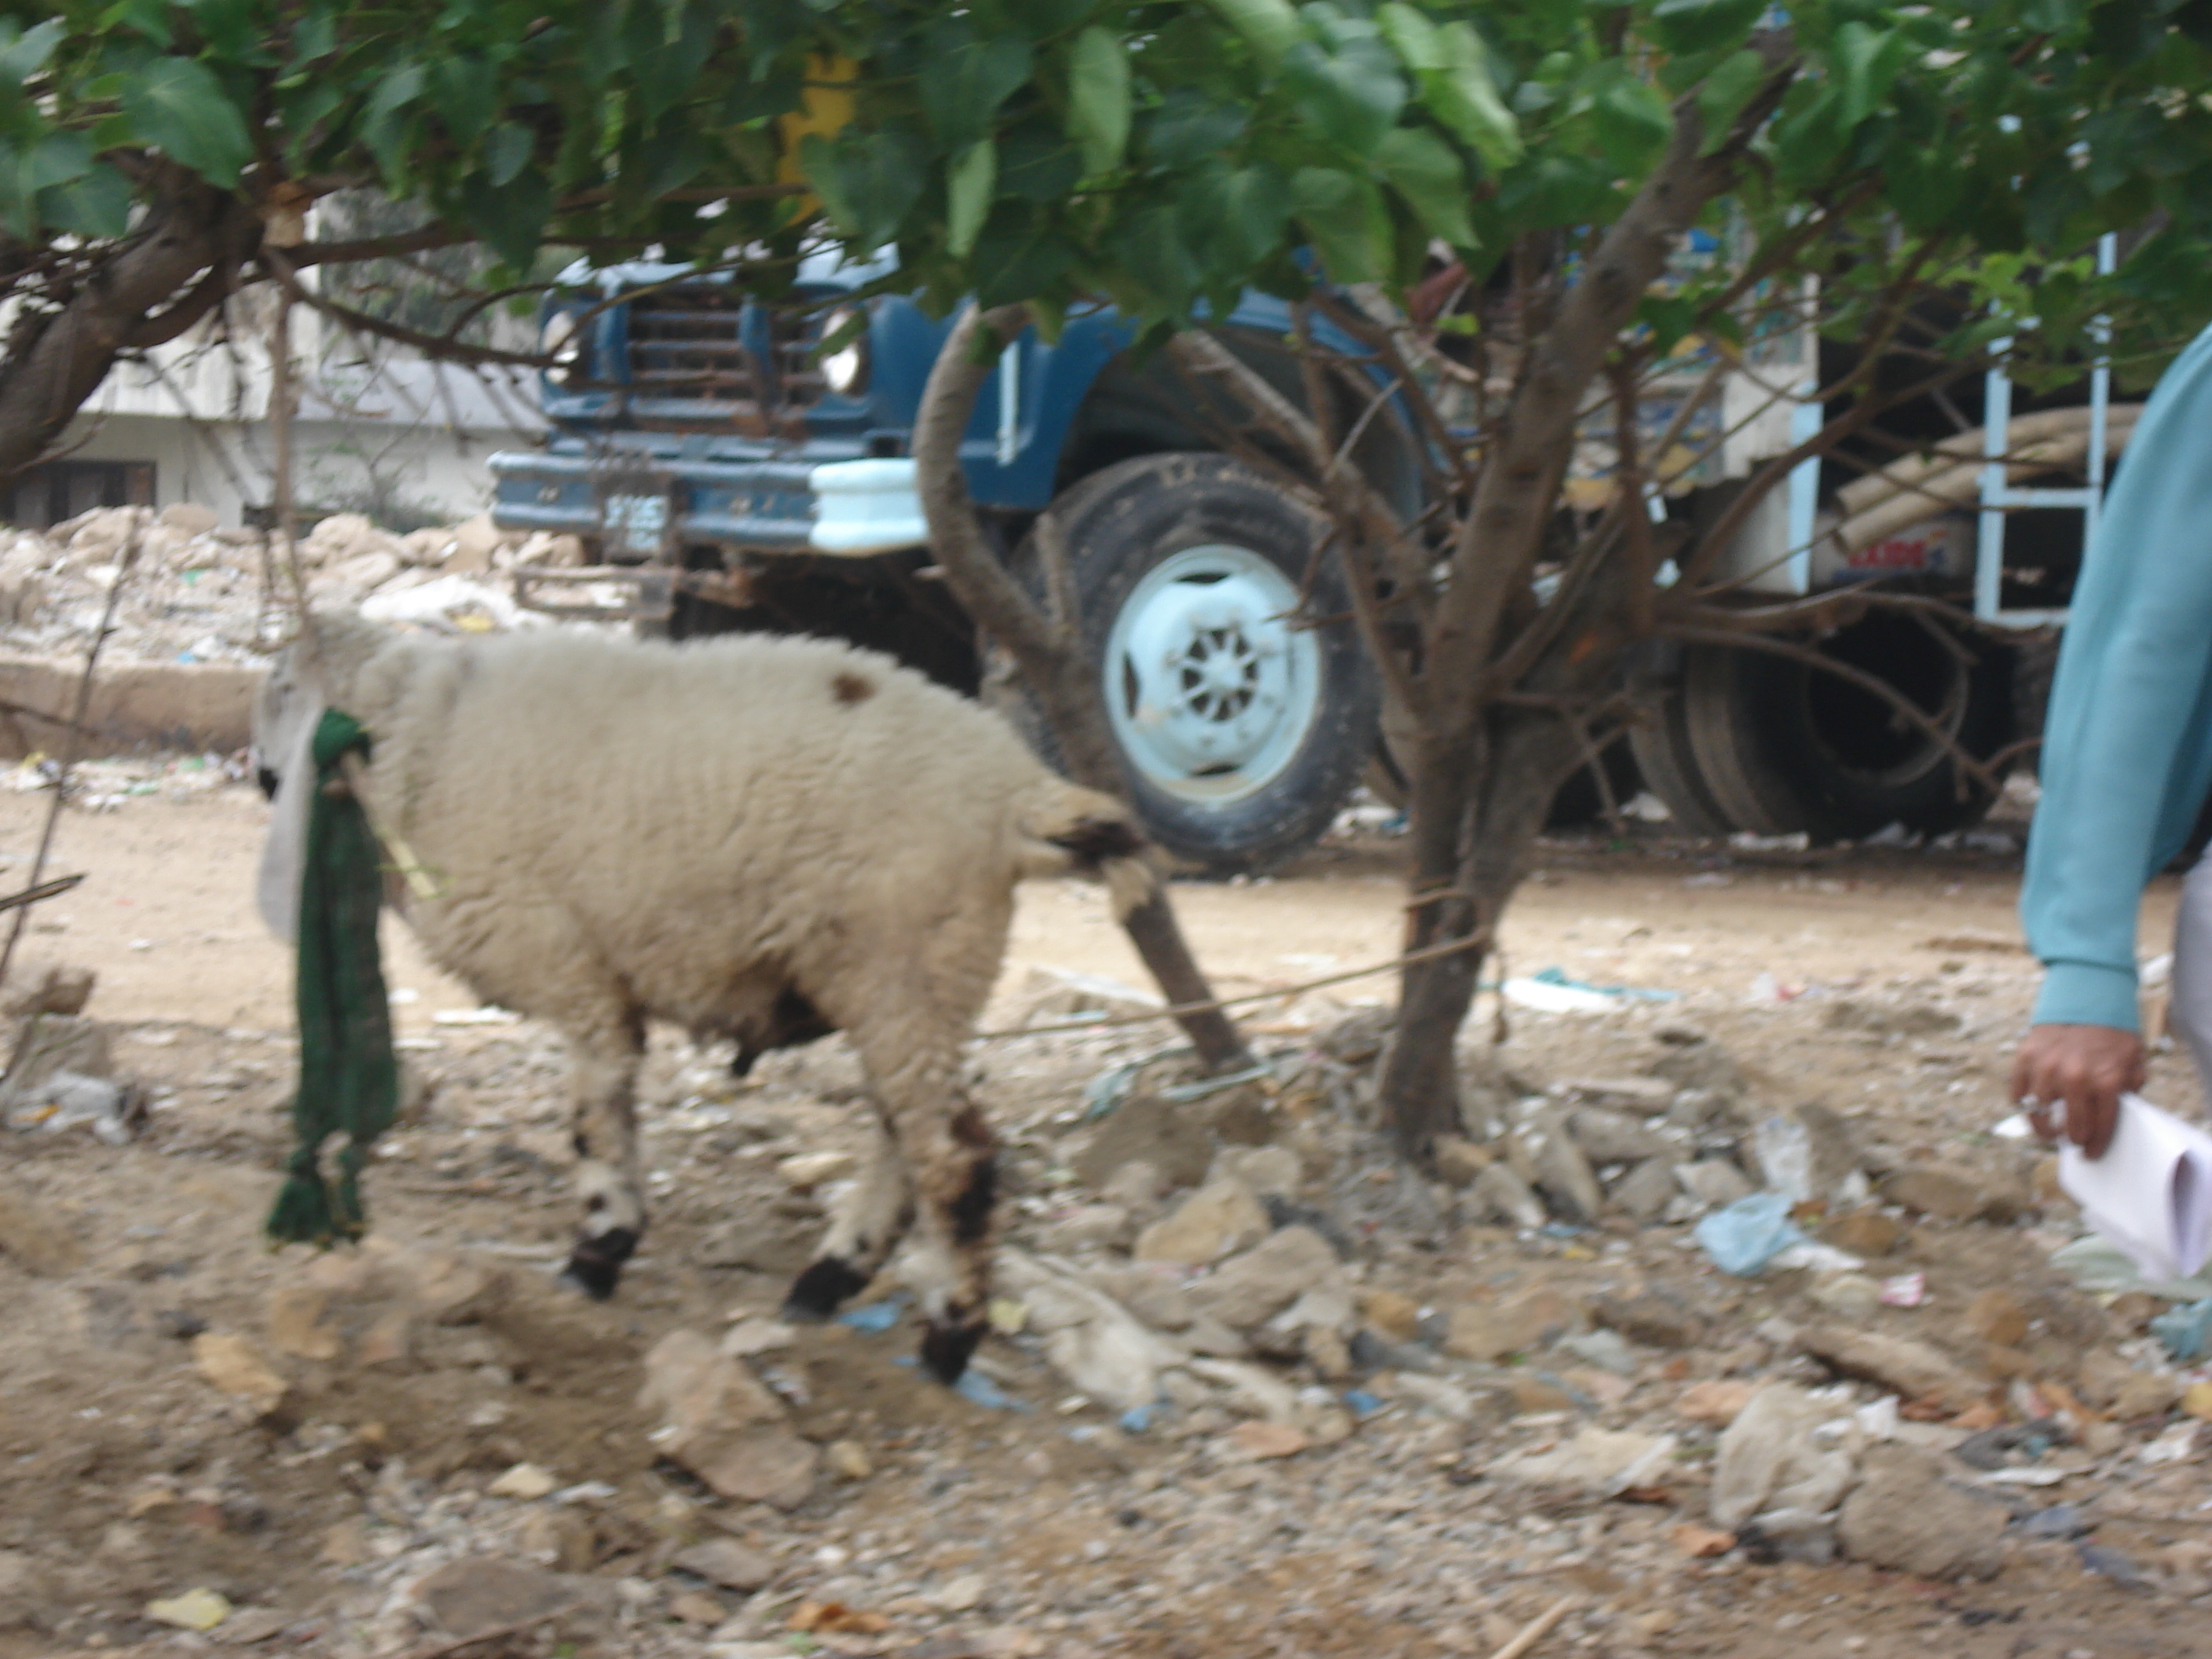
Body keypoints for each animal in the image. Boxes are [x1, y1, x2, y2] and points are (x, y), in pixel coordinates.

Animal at [254, 619, 1159, 1380]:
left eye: (281, 691)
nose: (264, 777)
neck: (428, 735)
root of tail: (1015, 792)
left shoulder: (574, 971)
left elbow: (593, 1120)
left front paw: (597, 1250)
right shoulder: (601, 983)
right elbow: (611, 1111)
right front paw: (609, 1243)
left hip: (899, 964)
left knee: (954, 1157)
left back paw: (948, 1337)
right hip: (920, 977)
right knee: (907, 1136)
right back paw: (833, 1275)